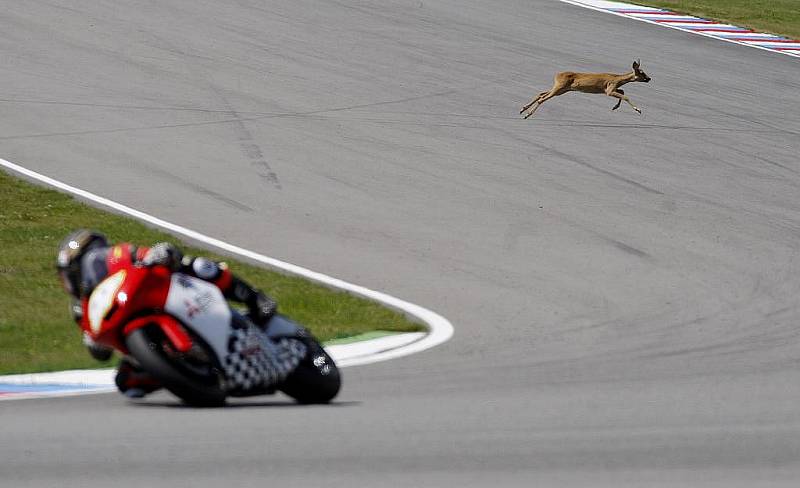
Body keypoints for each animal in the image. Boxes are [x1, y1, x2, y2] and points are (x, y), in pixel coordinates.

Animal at [520, 60, 652, 119]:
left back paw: (523, 109)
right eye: (641, 72)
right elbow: (625, 95)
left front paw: (615, 107)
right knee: (542, 98)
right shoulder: (609, 89)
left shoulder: (610, 89)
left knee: (541, 93)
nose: (649, 78)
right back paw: (527, 114)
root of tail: (557, 75)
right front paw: (638, 109)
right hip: (560, 87)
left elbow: (623, 92)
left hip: (562, 89)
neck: (618, 79)